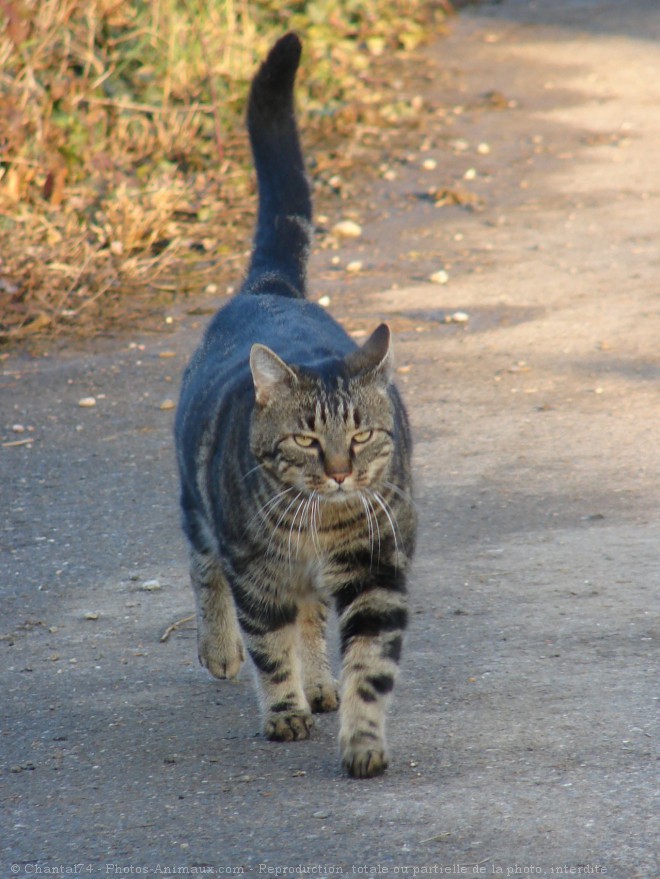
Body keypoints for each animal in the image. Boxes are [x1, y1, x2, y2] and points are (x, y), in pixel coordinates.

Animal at [173, 32, 416, 776]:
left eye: (361, 436)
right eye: (307, 439)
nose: (339, 473)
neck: (320, 521)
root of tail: (272, 286)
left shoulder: (375, 567)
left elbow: (368, 663)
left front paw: (362, 738)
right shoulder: (258, 572)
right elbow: (268, 646)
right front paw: (283, 711)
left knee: (311, 619)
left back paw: (322, 683)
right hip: (199, 504)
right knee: (204, 566)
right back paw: (221, 650)